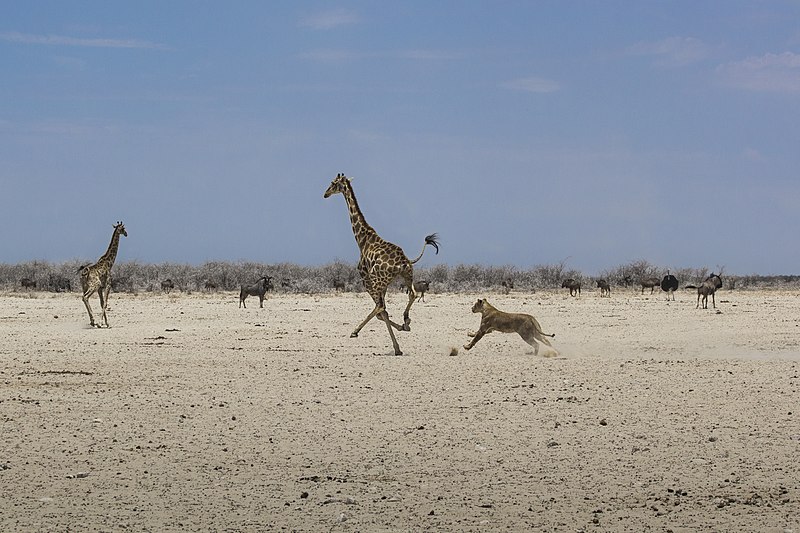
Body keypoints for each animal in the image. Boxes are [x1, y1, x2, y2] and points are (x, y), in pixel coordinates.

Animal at [324, 174, 440, 354]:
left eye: (333, 183)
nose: (325, 193)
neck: (362, 239)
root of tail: (405, 261)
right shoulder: (382, 283)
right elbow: (385, 309)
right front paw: (403, 328)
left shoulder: (366, 278)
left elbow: (381, 310)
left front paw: (356, 332)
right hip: (406, 276)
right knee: (411, 295)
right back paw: (405, 321)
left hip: (377, 281)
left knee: (381, 308)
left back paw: (361, 332)